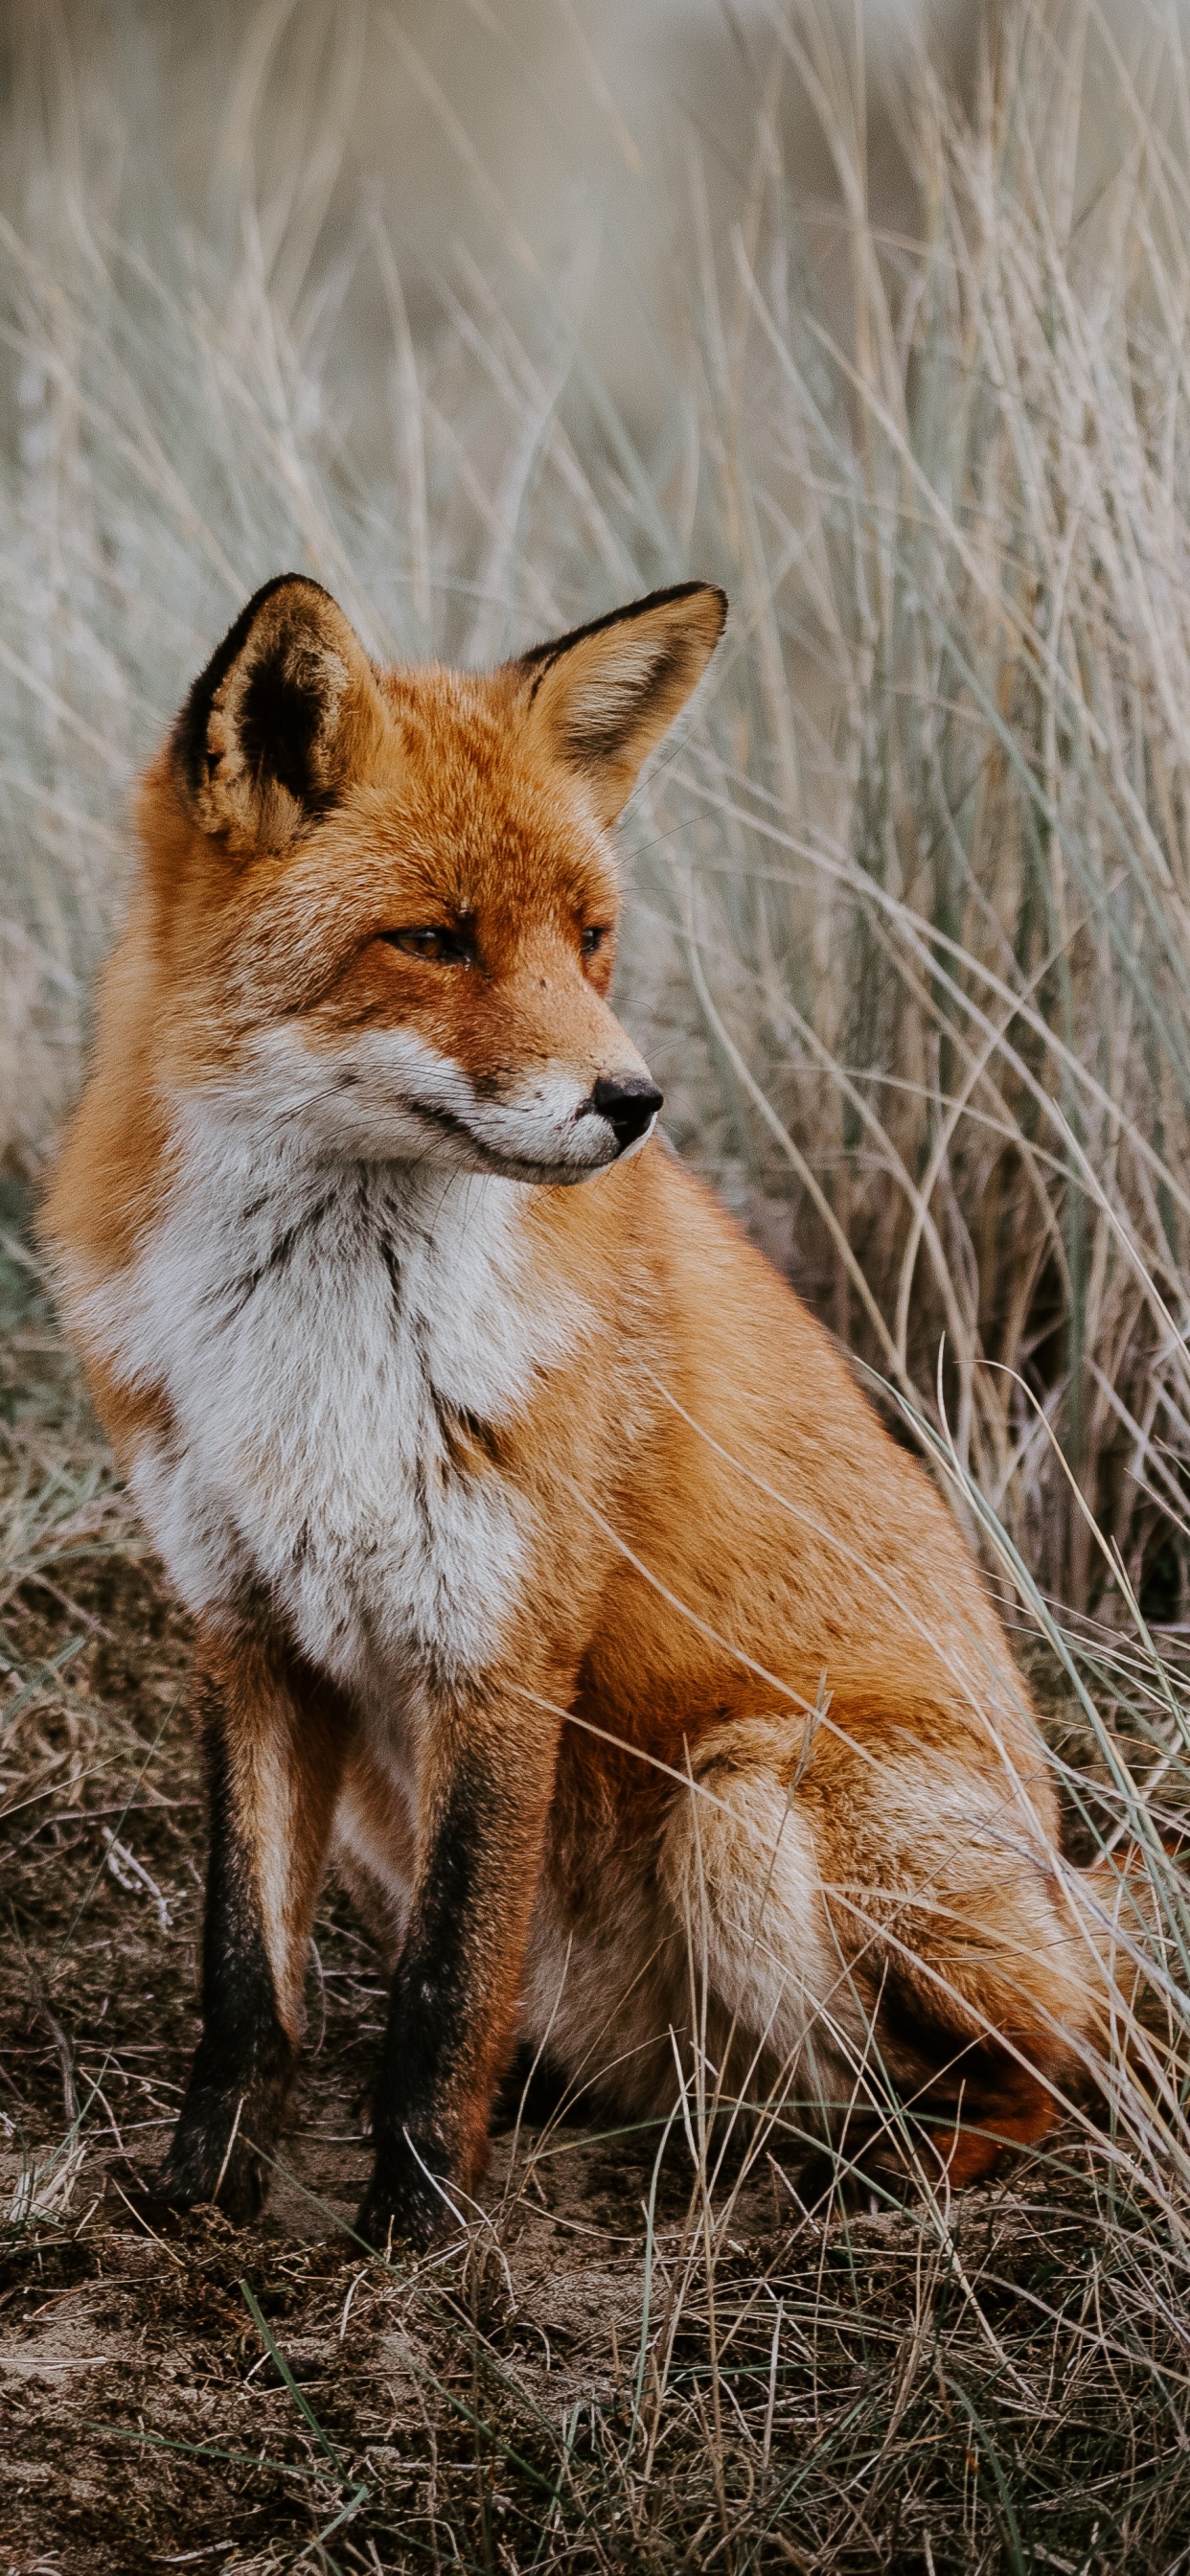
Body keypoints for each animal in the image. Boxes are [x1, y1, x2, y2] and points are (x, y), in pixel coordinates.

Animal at [49, 574, 1097, 2245]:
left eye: (588, 941)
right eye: (432, 940)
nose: (634, 1104)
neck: (317, 1347)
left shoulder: (501, 1643)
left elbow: (442, 1986)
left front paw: (417, 2238)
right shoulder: (243, 1629)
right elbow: (246, 1984)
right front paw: (202, 2205)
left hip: (750, 1801)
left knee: (1049, 2074)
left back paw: (862, 2190)